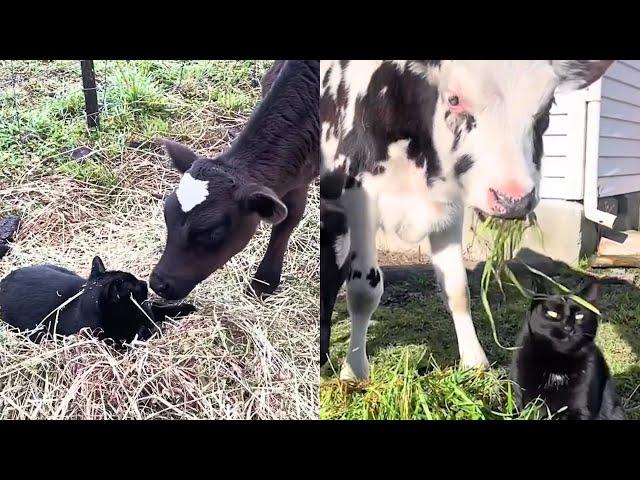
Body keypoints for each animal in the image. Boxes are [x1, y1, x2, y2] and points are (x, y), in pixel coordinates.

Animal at [0, 255, 195, 344]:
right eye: (134, 286)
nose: (144, 282)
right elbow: (138, 334)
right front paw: (151, 330)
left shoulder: (145, 308)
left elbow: (158, 309)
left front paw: (186, 308)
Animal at [322, 60, 612, 380]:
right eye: (454, 99)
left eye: (548, 106)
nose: (513, 198)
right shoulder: (359, 200)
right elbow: (364, 290)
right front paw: (354, 371)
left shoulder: (450, 209)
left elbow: (457, 288)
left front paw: (474, 361)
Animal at [510, 278, 624, 420]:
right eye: (552, 314)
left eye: (579, 316)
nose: (569, 328)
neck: (557, 362)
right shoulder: (523, 403)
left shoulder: (580, 409)